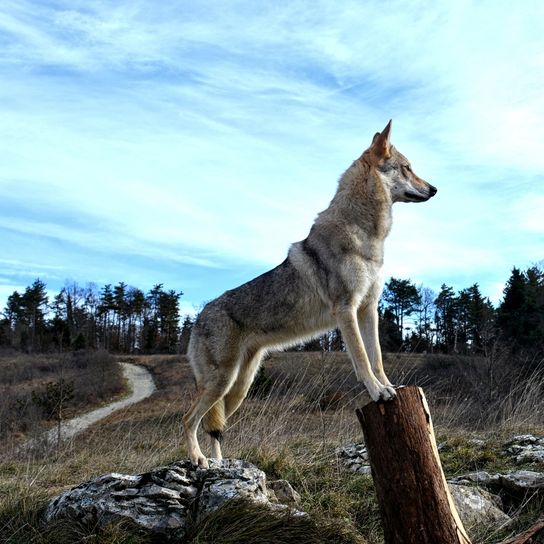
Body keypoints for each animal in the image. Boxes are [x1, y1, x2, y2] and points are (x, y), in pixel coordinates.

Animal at [183, 121, 438, 466]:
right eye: (408, 168)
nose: (434, 189)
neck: (368, 236)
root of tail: (198, 317)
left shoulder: (368, 308)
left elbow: (377, 359)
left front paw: (388, 386)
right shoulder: (346, 309)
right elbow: (362, 359)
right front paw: (377, 392)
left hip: (237, 389)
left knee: (215, 427)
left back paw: (219, 464)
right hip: (220, 383)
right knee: (189, 420)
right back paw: (198, 459)